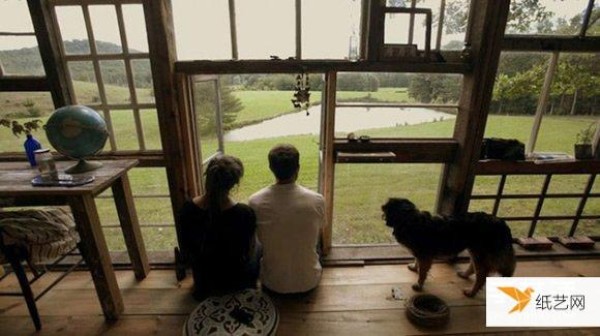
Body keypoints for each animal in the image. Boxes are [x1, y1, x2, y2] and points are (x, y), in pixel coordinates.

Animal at [384, 197, 516, 296]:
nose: (385, 221)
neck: (410, 220)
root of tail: (502, 224)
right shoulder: (421, 254)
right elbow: (417, 262)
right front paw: (414, 267)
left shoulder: (425, 255)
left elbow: (422, 273)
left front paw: (419, 285)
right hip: (475, 251)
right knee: (474, 267)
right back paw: (464, 275)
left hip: (481, 254)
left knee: (482, 277)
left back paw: (471, 292)